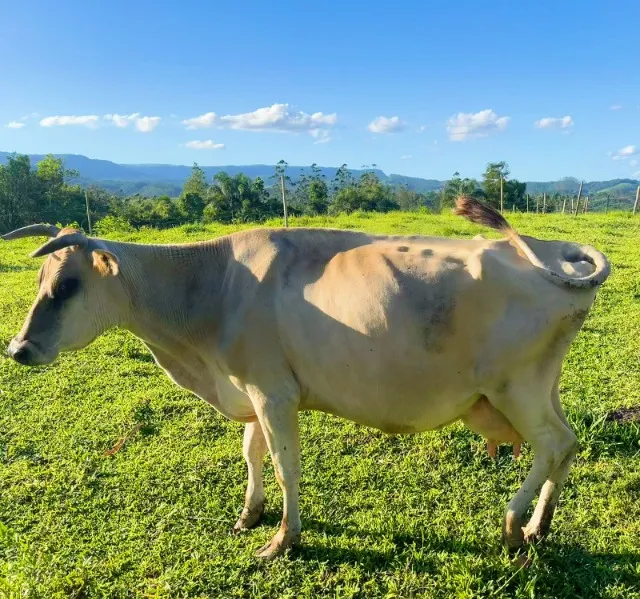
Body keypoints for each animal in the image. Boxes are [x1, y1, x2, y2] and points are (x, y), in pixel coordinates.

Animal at [2, 196, 610, 559]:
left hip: (516, 387)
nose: (18, 348)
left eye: (67, 286)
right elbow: (251, 454)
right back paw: (539, 526)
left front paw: (282, 540)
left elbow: (283, 464)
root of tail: (543, 249)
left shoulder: (273, 391)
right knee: (568, 443)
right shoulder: (250, 387)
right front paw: (248, 515)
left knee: (551, 444)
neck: (213, 289)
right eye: (40, 280)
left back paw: (512, 524)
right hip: (541, 386)